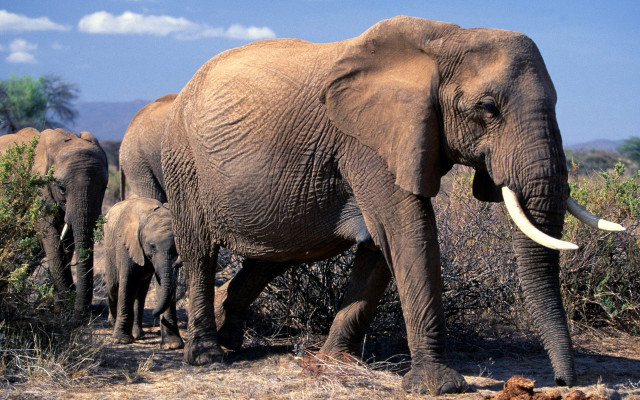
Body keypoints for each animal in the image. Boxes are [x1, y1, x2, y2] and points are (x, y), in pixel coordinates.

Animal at [0, 127, 108, 318]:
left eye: (104, 187)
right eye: (61, 188)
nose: (83, 312)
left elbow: (67, 240)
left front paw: (59, 307)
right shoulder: (40, 191)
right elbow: (51, 239)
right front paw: (64, 308)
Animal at [103, 196, 183, 348]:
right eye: (152, 246)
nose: (153, 313)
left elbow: (162, 285)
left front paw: (172, 345)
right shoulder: (126, 243)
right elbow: (127, 282)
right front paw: (121, 340)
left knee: (141, 292)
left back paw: (138, 334)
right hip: (109, 250)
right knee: (113, 287)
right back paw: (111, 325)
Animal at [160, 16, 623, 394]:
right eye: (488, 108)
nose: (564, 382)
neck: (445, 39)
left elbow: (380, 247)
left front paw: (331, 362)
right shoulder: (367, 142)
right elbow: (408, 231)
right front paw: (439, 386)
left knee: (274, 256)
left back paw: (231, 339)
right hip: (183, 162)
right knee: (200, 252)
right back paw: (207, 358)